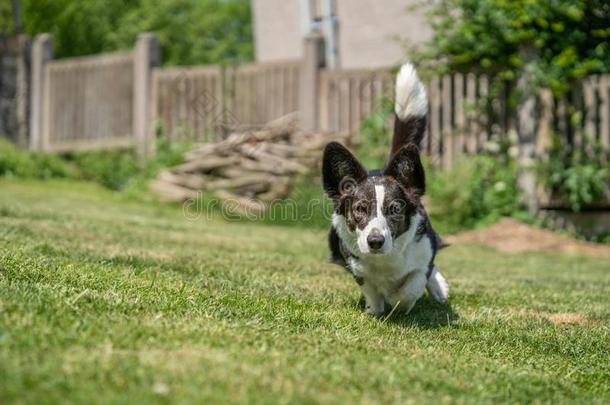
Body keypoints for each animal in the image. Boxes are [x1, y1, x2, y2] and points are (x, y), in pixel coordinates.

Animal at [324, 62, 446, 316]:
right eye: (360, 209)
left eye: (395, 209)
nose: (375, 241)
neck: (385, 259)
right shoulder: (357, 268)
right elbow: (371, 290)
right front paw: (375, 310)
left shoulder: (422, 256)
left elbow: (412, 285)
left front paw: (400, 302)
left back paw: (439, 287)